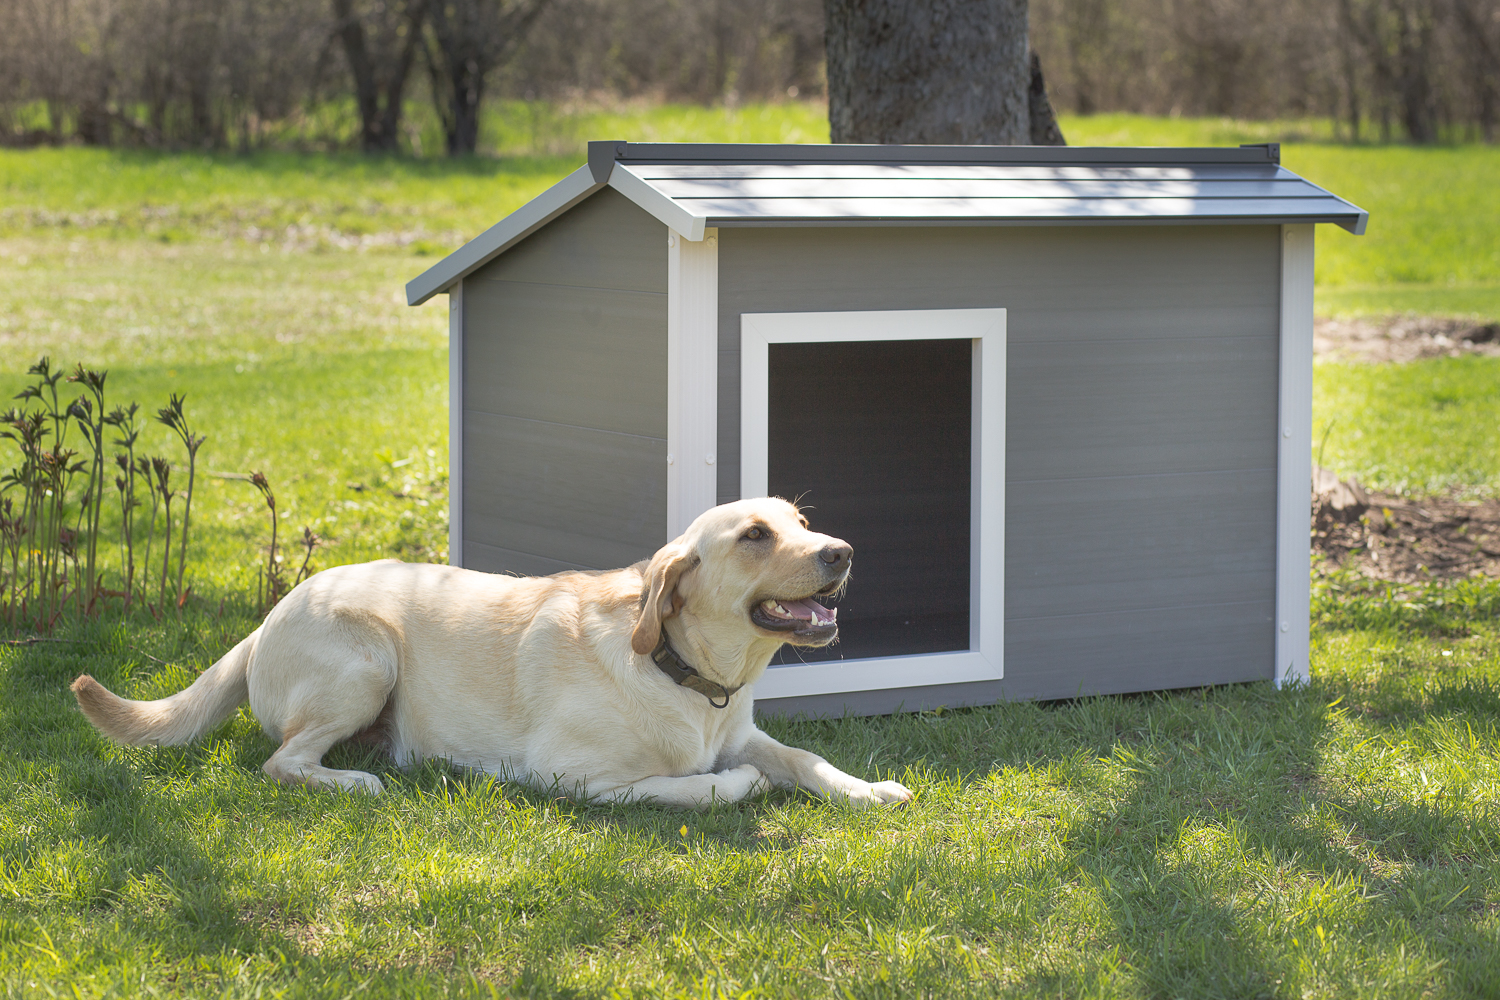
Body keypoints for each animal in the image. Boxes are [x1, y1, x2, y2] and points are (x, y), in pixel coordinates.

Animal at [73, 497, 912, 809]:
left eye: (799, 521)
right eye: (755, 536)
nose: (842, 550)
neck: (689, 677)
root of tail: (274, 611)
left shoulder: (748, 730)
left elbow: (803, 758)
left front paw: (867, 788)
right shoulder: (579, 776)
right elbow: (694, 787)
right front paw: (737, 785)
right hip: (368, 660)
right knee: (282, 761)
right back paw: (353, 780)